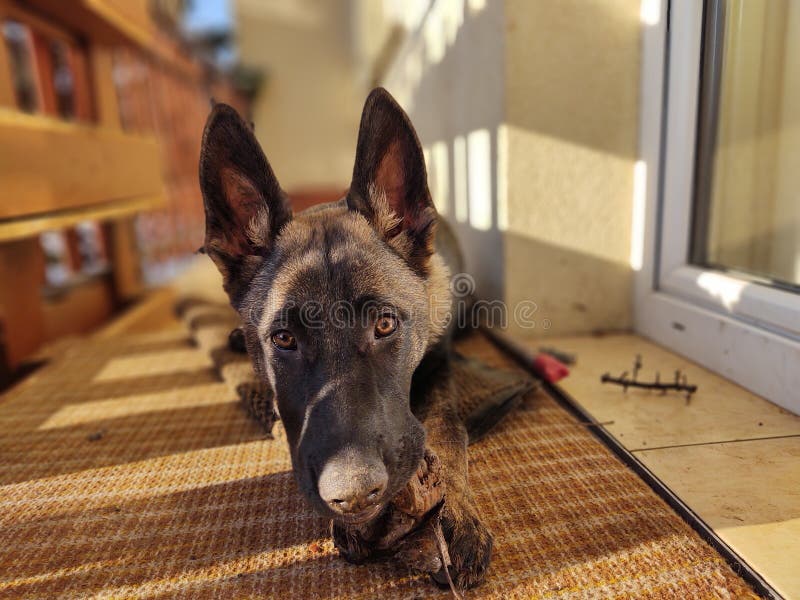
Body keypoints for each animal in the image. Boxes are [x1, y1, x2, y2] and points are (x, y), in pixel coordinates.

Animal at [197, 86, 490, 588]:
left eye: (385, 325)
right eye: (284, 340)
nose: (355, 498)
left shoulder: (440, 365)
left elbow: (447, 427)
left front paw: (456, 514)